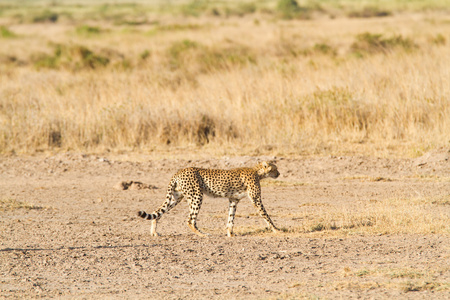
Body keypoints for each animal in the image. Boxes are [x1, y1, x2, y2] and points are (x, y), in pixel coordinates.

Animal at [137, 162, 282, 237]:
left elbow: (231, 218)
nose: (279, 173)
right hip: (196, 196)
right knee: (190, 220)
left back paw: (154, 232)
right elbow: (266, 216)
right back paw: (202, 234)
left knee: (157, 212)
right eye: (274, 168)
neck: (257, 172)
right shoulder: (256, 199)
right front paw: (276, 230)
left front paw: (230, 233)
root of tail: (179, 171)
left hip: (176, 197)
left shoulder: (233, 200)